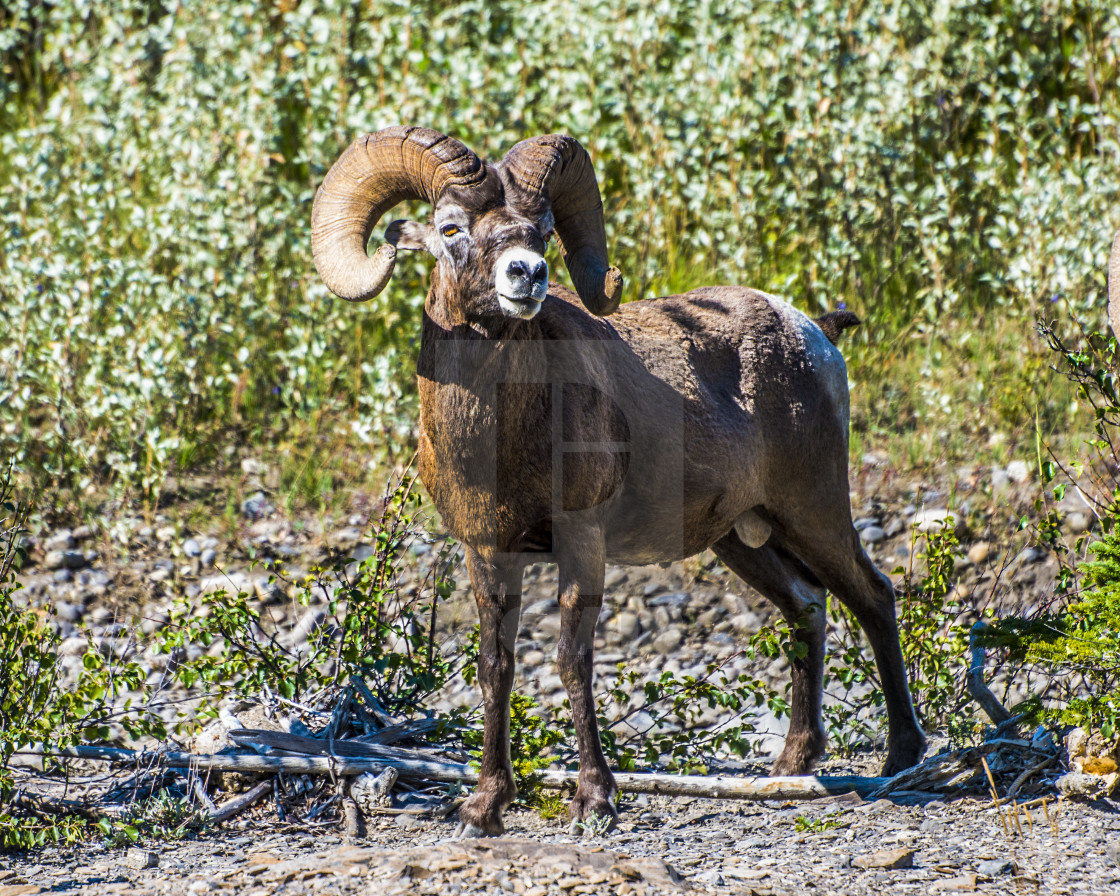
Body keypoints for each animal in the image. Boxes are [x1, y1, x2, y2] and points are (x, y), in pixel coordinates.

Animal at [311, 127, 922, 842]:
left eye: (544, 230)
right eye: (450, 227)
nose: (527, 274)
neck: (502, 438)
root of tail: (816, 334)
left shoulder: (582, 541)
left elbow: (571, 663)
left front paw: (595, 801)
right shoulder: (488, 553)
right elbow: (496, 668)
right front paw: (484, 808)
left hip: (813, 509)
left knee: (873, 596)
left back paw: (901, 756)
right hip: (744, 539)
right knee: (806, 608)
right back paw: (791, 765)